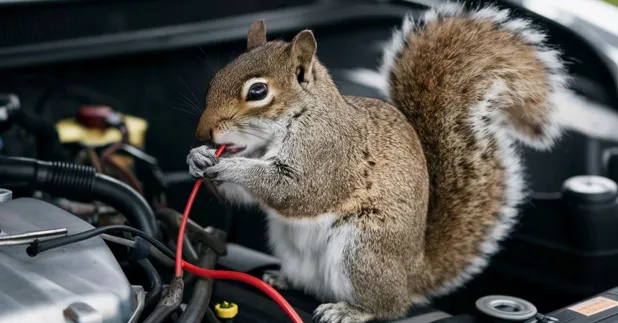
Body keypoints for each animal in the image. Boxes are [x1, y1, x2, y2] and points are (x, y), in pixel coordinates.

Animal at [186, 3, 568, 323]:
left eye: (257, 92)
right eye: (217, 76)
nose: (202, 131)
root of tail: (413, 273)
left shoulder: (329, 154)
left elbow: (297, 191)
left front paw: (232, 167)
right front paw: (198, 158)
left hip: (364, 249)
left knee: (389, 307)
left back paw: (349, 311)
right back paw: (282, 278)